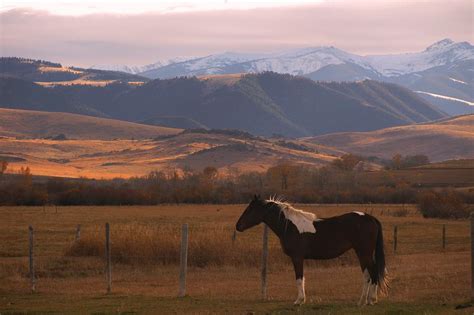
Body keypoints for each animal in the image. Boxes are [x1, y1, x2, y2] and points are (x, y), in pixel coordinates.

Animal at [234, 195, 388, 306]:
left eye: (250, 209)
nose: (238, 226)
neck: (290, 226)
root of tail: (370, 218)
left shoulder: (297, 258)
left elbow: (299, 278)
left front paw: (299, 301)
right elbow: (302, 278)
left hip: (364, 253)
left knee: (373, 272)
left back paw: (371, 300)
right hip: (361, 253)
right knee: (367, 275)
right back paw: (362, 301)